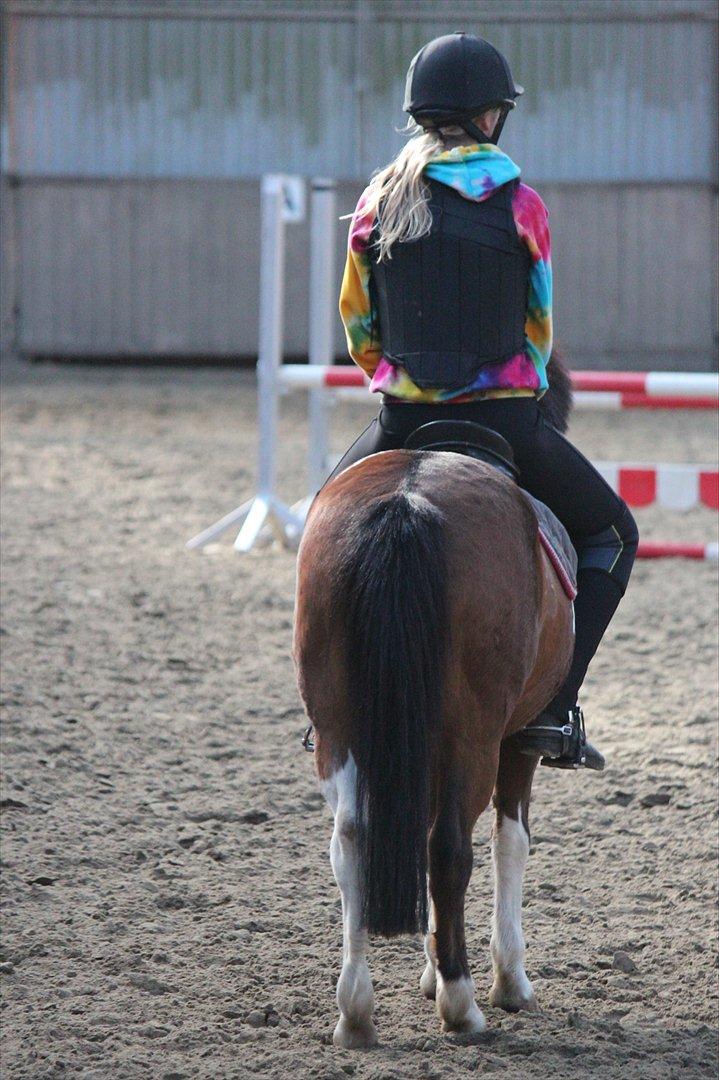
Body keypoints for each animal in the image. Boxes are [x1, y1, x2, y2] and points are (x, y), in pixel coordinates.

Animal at [291, 354, 570, 1045]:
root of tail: (407, 500)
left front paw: (429, 968)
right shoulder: (517, 740)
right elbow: (510, 840)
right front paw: (507, 981)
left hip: (340, 726)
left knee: (352, 839)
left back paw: (355, 1012)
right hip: (475, 737)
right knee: (448, 849)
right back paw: (463, 1005)